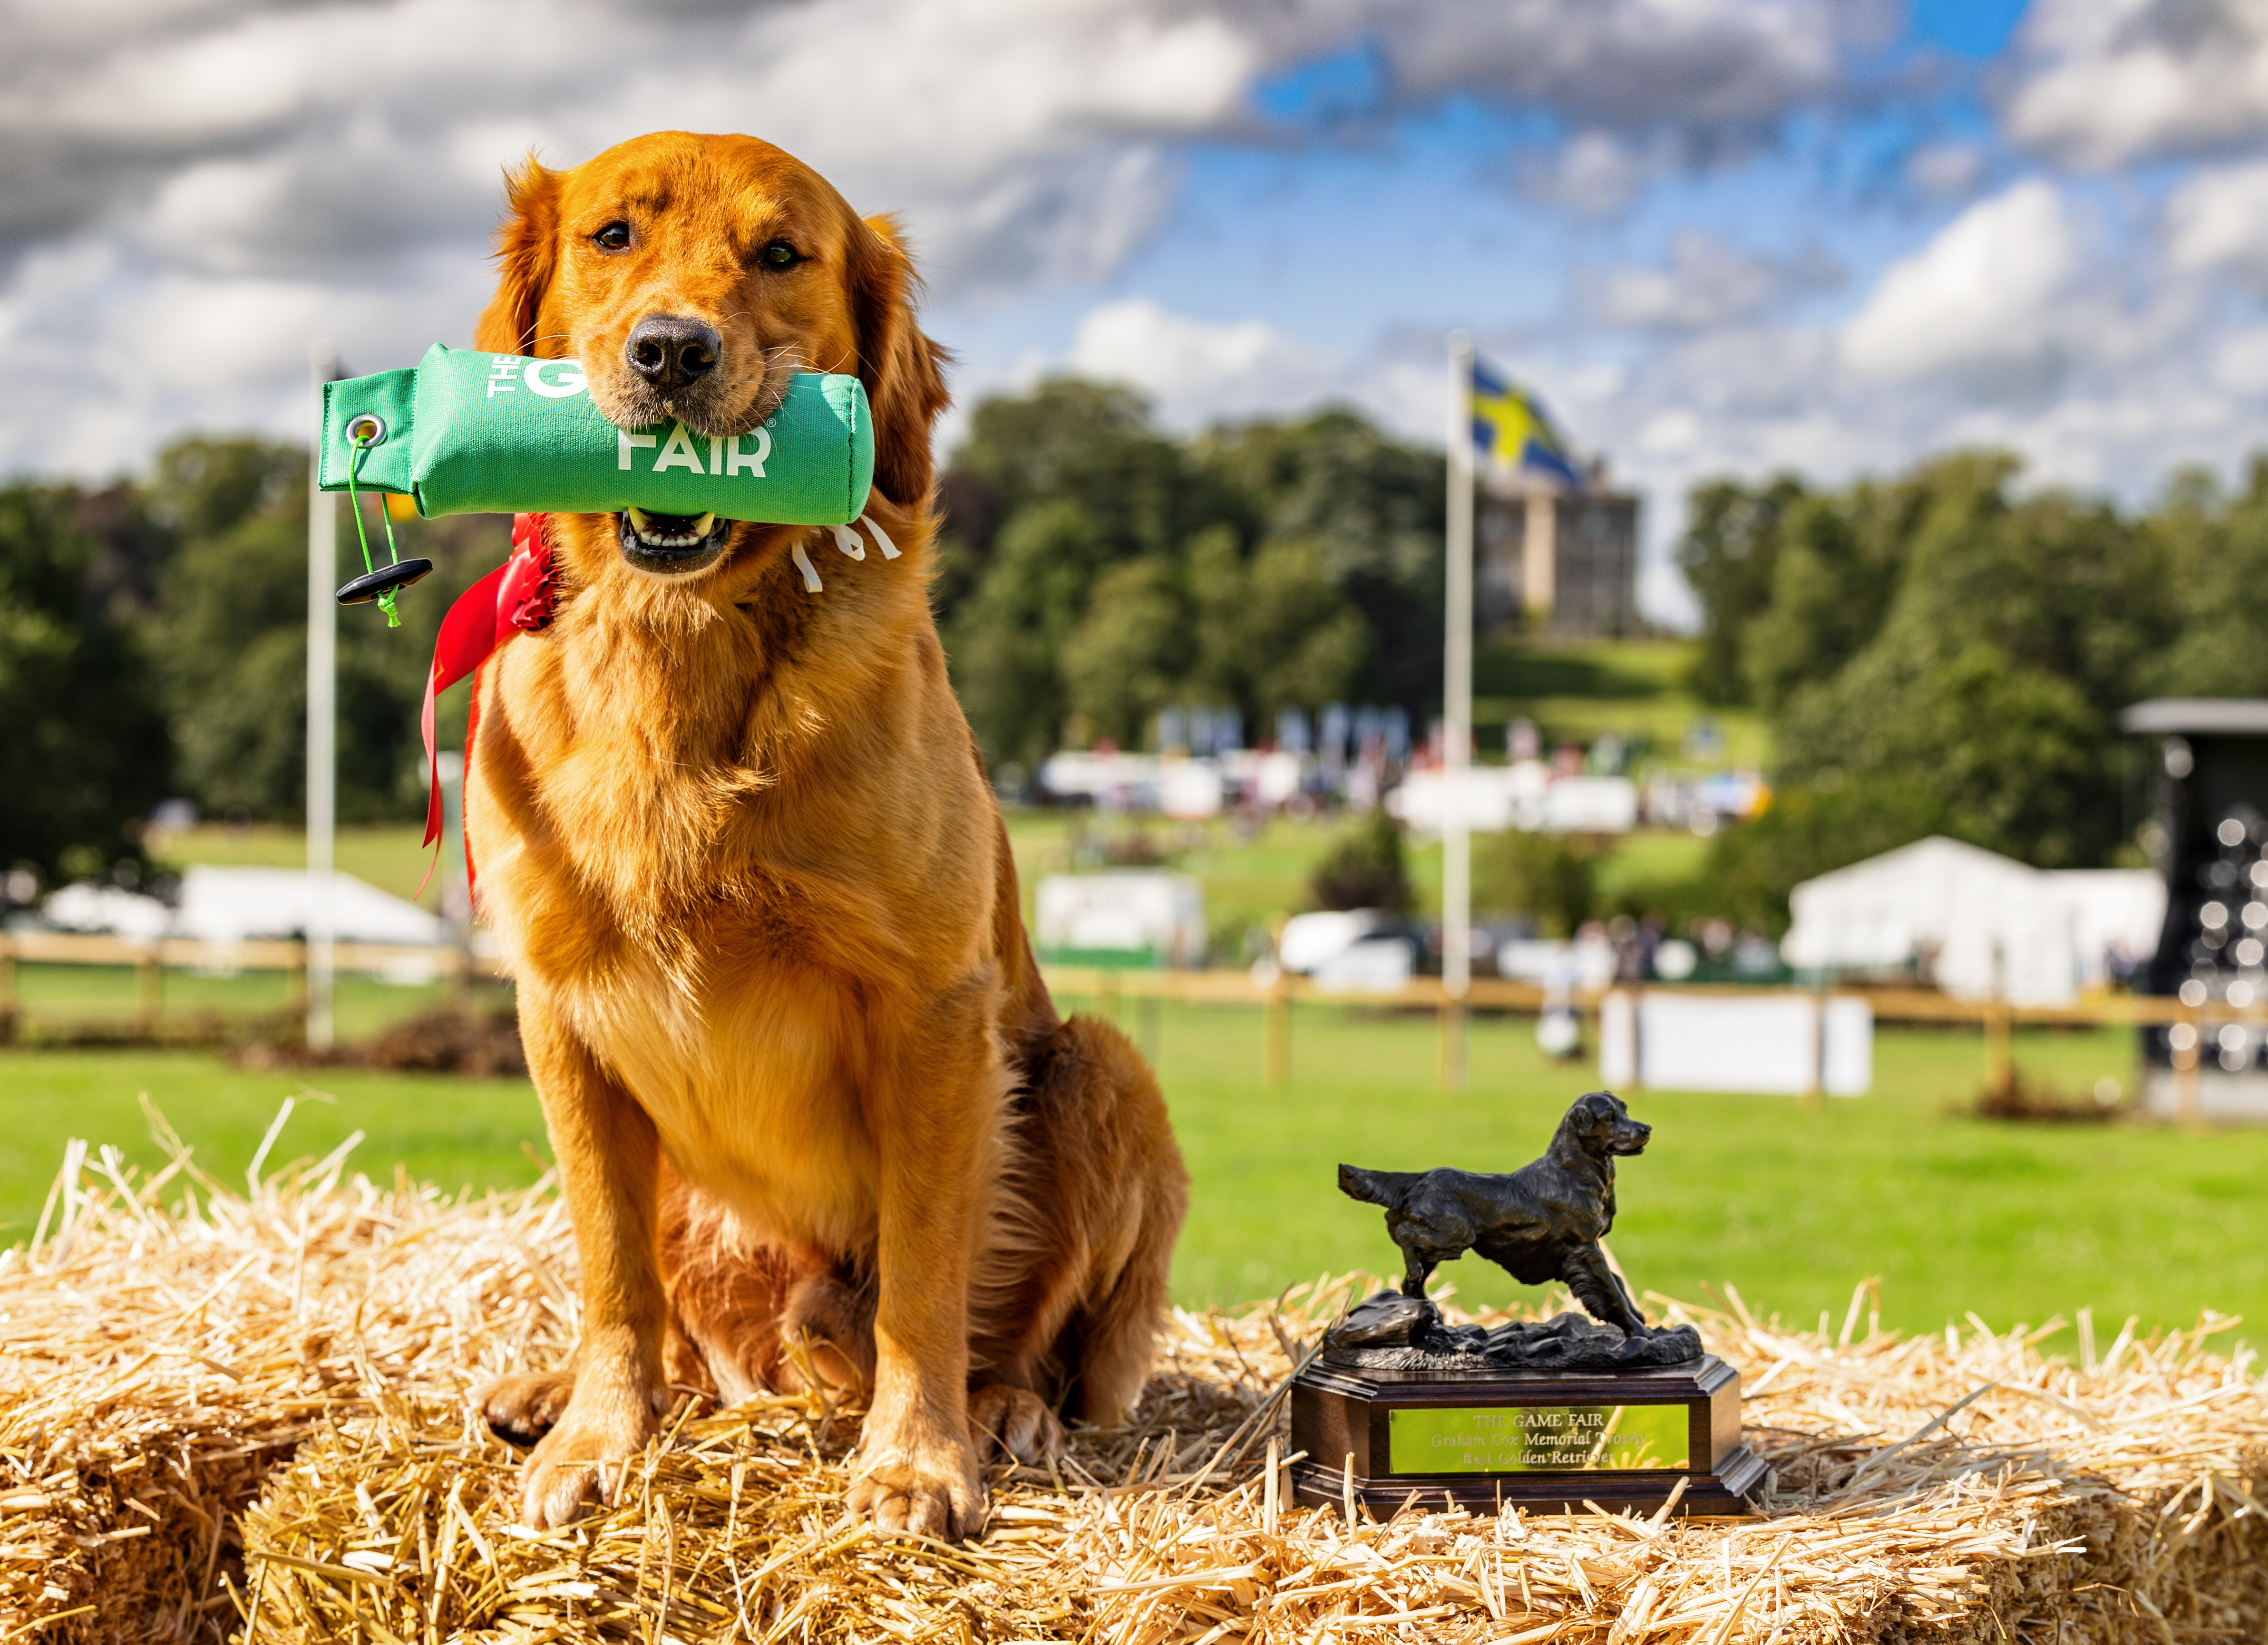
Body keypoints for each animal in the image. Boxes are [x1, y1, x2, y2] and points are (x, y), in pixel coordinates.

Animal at [469, 132, 1197, 1549]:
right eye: (612, 237)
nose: (672, 353)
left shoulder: (932, 1005)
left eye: (780, 254)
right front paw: (600, 1436)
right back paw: (562, 1388)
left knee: (1038, 1347)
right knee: (681, 1328)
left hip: (1101, 1068)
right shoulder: (557, 1004)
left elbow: (926, 1270)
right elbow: (610, 1268)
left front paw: (916, 1461)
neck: (686, 650)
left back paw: (1007, 1414)